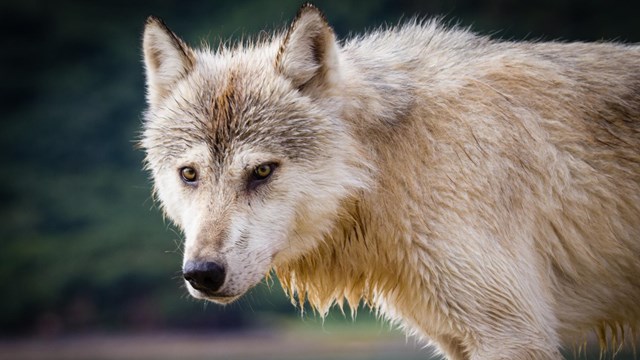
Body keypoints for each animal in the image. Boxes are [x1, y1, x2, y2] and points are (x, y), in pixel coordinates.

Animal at [141, 3, 640, 360]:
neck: (392, 165)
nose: (202, 274)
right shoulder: (461, 339)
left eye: (262, 171)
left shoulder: (513, 336)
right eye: (189, 174)